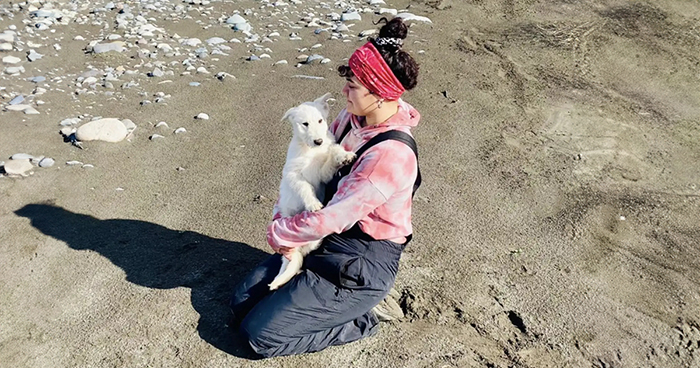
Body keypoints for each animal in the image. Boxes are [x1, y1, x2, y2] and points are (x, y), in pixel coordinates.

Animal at [268, 92, 356, 290]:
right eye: (305, 124)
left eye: (320, 120)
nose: (319, 141)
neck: (310, 150)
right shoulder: (293, 175)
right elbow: (305, 187)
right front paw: (313, 204)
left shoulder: (323, 172)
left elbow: (332, 152)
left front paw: (344, 155)